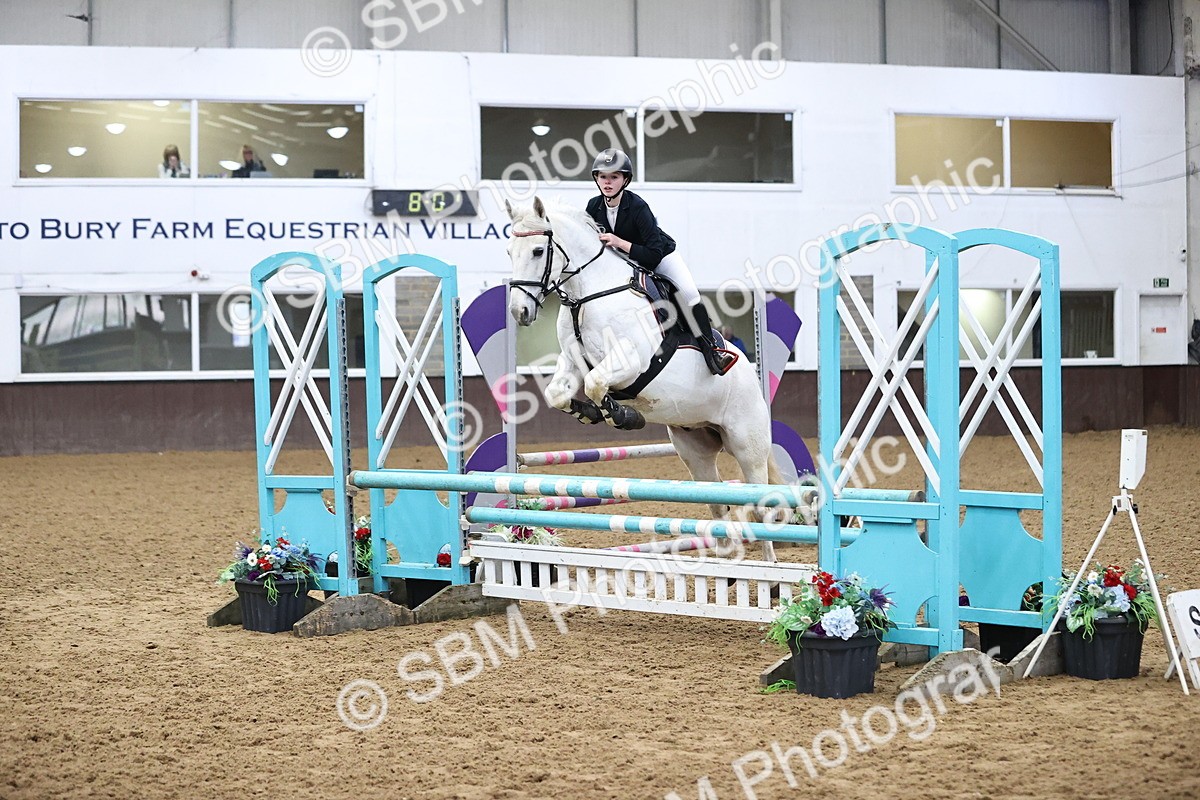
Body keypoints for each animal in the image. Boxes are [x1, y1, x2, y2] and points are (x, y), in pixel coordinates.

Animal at [503, 196, 783, 522]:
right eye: (509, 252)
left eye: (538, 251)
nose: (519, 311)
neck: (588, 294)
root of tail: (754, 380)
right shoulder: (573, 363)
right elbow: (556, 394)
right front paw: (589, 413)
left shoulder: (632, 361)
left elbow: (595, 383)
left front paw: (624, 416)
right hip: (695, 448)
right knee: (719, 505)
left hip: (748, 446)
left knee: (761, 503)